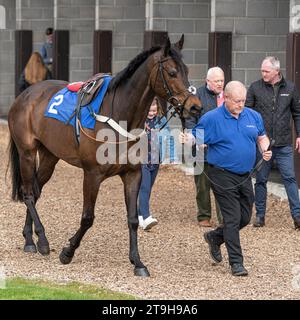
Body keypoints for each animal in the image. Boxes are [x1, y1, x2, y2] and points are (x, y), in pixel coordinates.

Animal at [7, 34, 202, 276]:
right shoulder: (92, 174)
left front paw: (138, 262)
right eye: (173, 72)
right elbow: (88, 218)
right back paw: (41, 240)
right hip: (26, 152)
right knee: (28, 194)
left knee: (35, 191)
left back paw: (29, 239)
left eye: (187, 70)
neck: (118, 115)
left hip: (50, 156)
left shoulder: (132, 174)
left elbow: (132, 219)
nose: (195, 107)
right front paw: (68, 251)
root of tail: (25, 94)